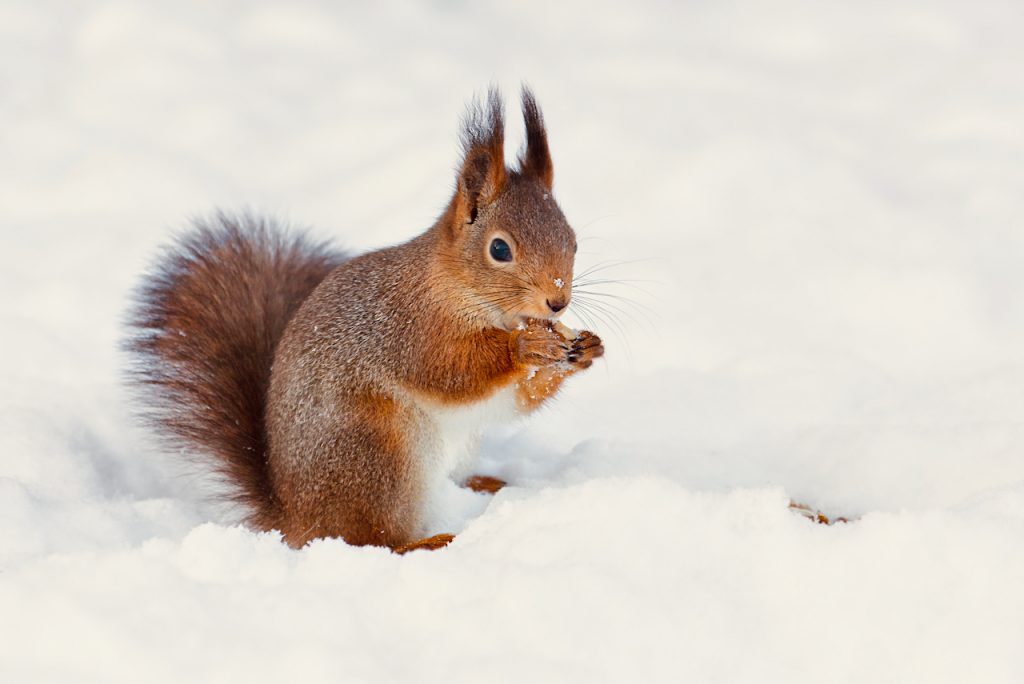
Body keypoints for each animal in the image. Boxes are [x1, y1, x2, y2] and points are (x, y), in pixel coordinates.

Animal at [129, 88, 606, 552]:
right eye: (500, 249)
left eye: (572, 241)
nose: (558, 302)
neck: (464, 294)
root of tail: (294, 519)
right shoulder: (410, 329)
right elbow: (450, 372)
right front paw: (525, 347)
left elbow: (511, 400)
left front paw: (585, 349)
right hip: (377, 451)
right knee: (369, 538)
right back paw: (423, 542)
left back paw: (481, 484)